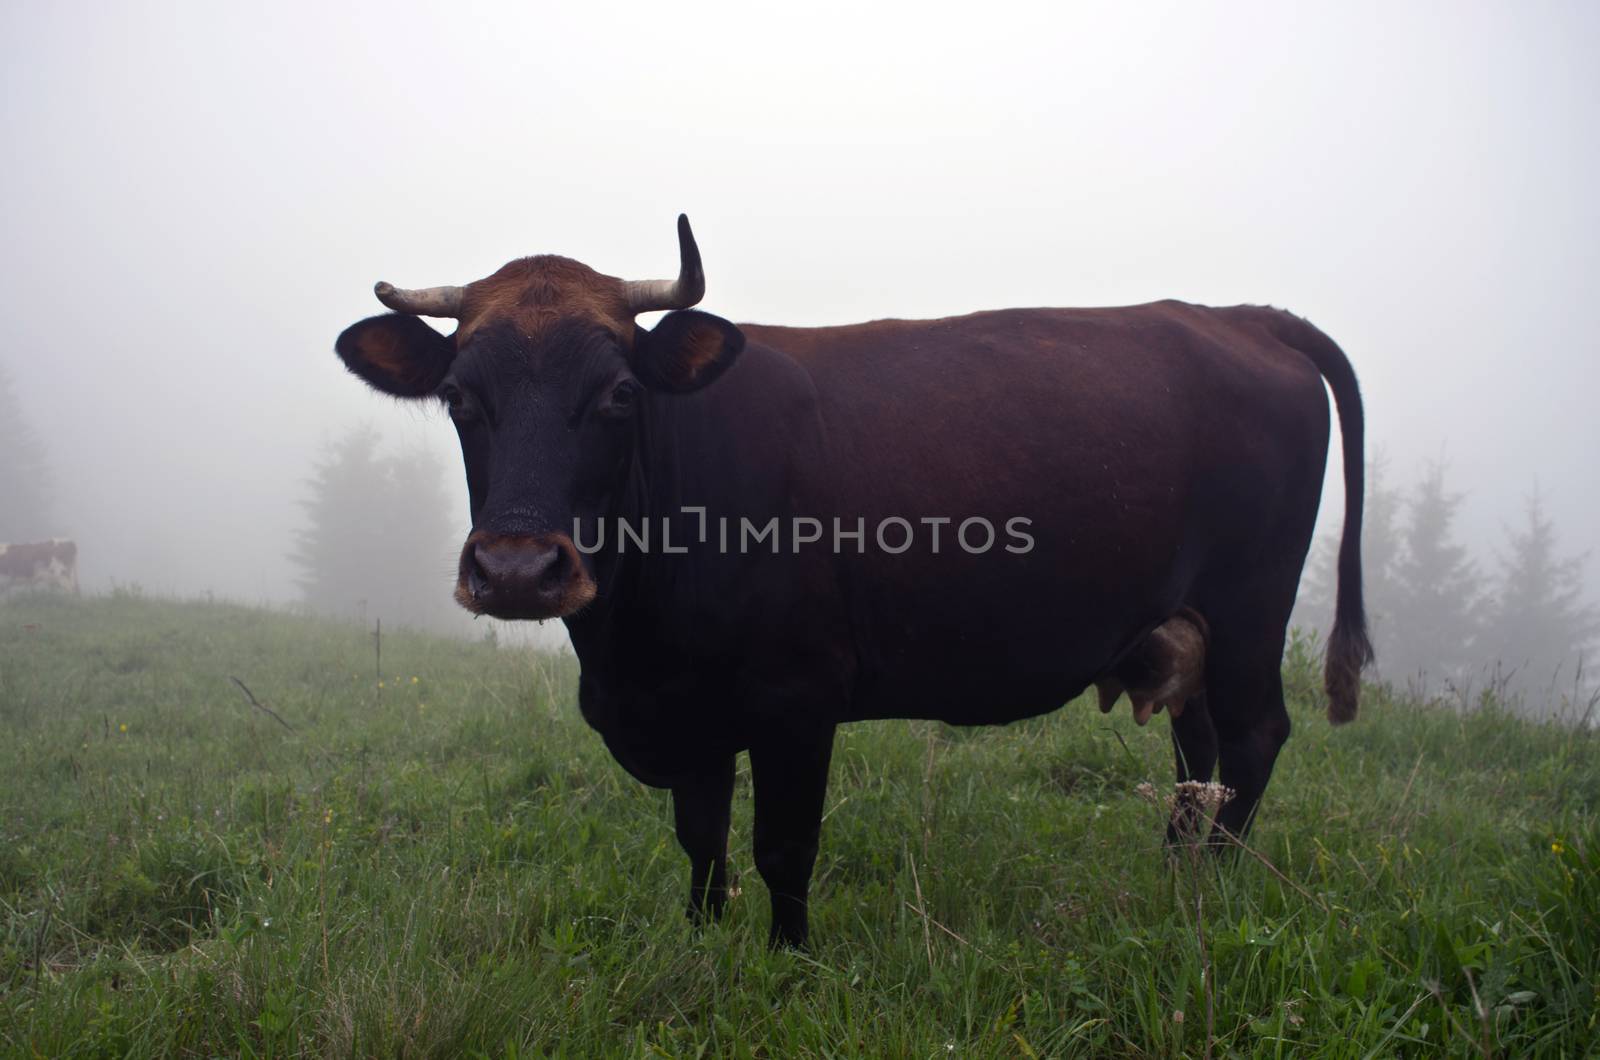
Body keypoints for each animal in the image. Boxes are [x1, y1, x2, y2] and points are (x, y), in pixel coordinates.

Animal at [331, 216, 1369, 947]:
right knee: (1199, 759)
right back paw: (1173, 879)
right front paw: (701, 945)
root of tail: (1234, 316)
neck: (632, 651)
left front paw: (788, 963)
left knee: (1251, 739)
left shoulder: (798, 697)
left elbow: (783, 847)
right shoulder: (688, 708)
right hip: (1181, 624)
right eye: (458, 397)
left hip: (1249, 607)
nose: (516, 569)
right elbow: (702, 841)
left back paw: (1213, 888)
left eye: (620, 393)